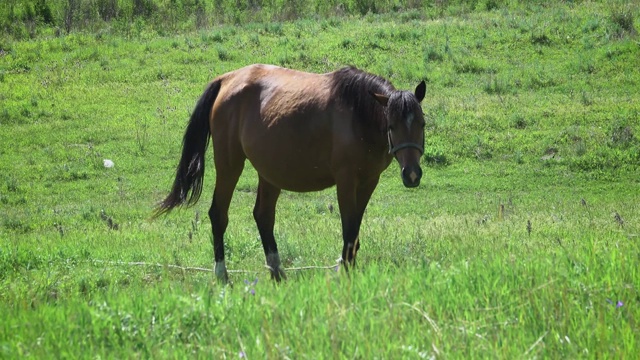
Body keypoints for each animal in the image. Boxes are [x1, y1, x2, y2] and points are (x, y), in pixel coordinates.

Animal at [154, 64, 424, 282]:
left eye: (422, 124)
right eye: (391, 125)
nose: (412, 175)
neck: (357, 114)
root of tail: (226, 79)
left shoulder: (369, 182)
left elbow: (355, 229)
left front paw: (351, 269)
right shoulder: (346, 181)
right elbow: (348, 228)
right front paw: (344, 273)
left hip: (269, 173)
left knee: (263, 216)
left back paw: (277, 272)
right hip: (229, 165)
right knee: (218, 214)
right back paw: (222, 274)